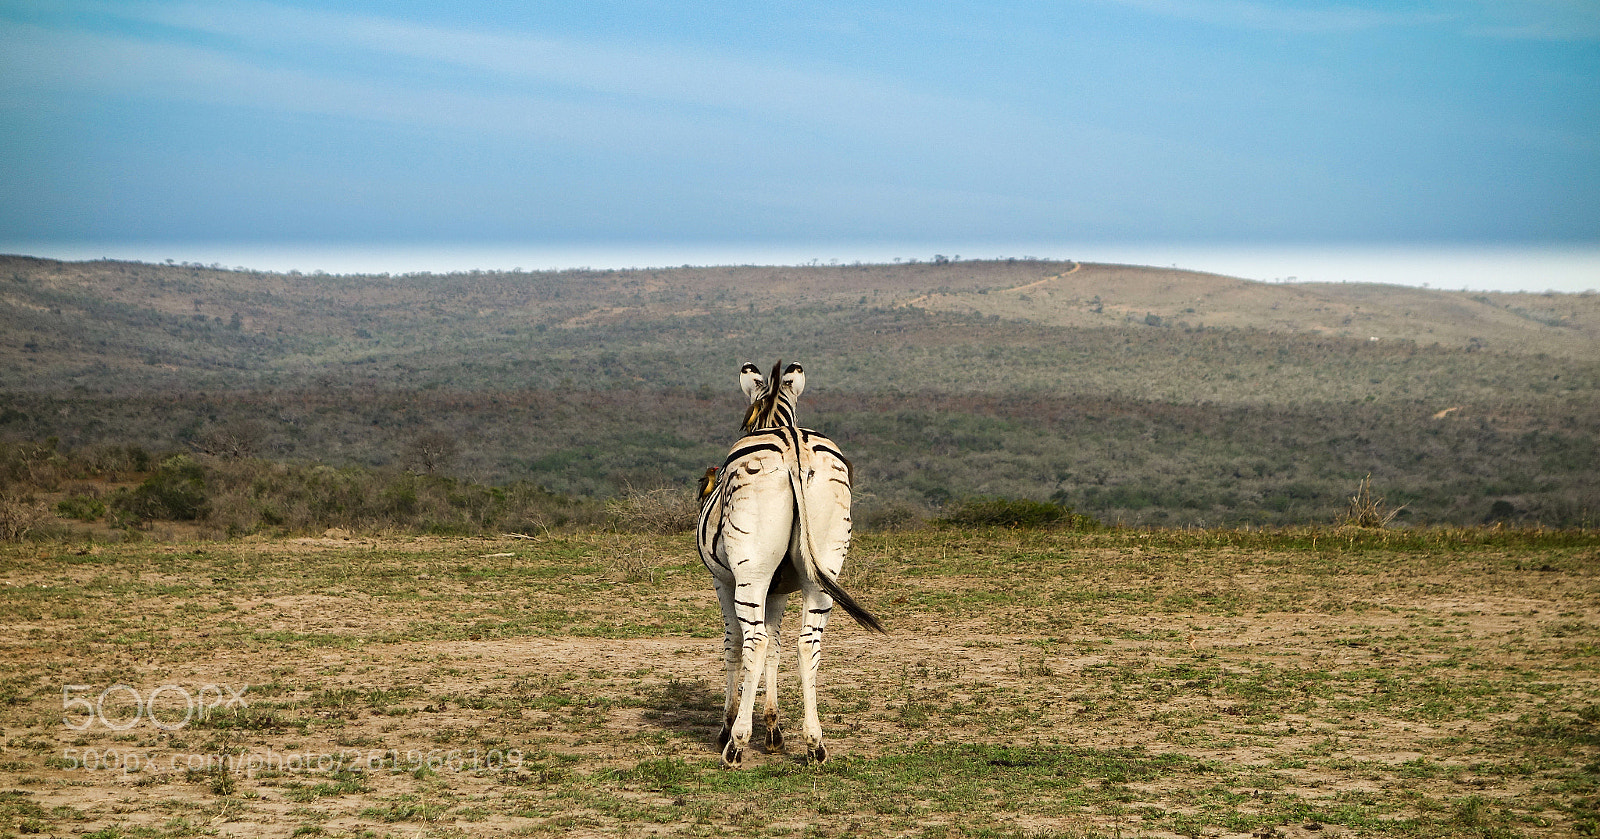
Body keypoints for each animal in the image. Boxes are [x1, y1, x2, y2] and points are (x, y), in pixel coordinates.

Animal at [696, 360, 884, 768]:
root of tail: (795, 448)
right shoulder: (780, 589)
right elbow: (779, 646)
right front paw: (773, 729)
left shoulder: (724, 581)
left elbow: (735, 645)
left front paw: (728, 726)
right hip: (825, 569)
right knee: (807, 643)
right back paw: (815, 743)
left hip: (751, 572)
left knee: (754, 640)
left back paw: (735, 744)